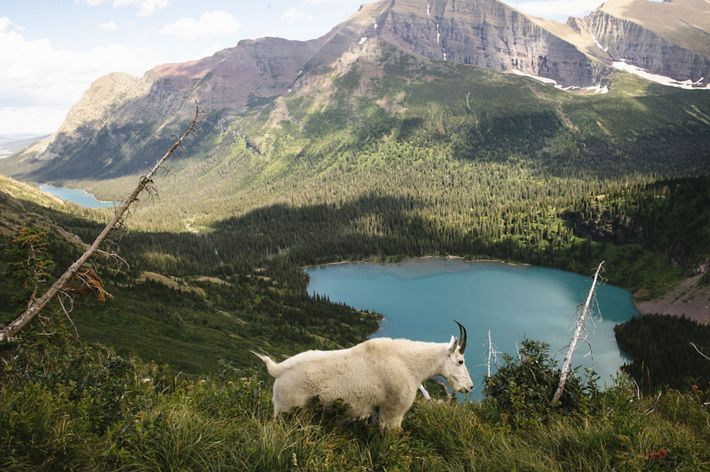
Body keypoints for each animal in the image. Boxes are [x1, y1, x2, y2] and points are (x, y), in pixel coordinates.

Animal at [254, 321, 473, 430]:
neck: (407, 364)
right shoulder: (393, 413)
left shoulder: (378, 414)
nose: (469, 387)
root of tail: (277, 370)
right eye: (460, 361)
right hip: (285, 411)